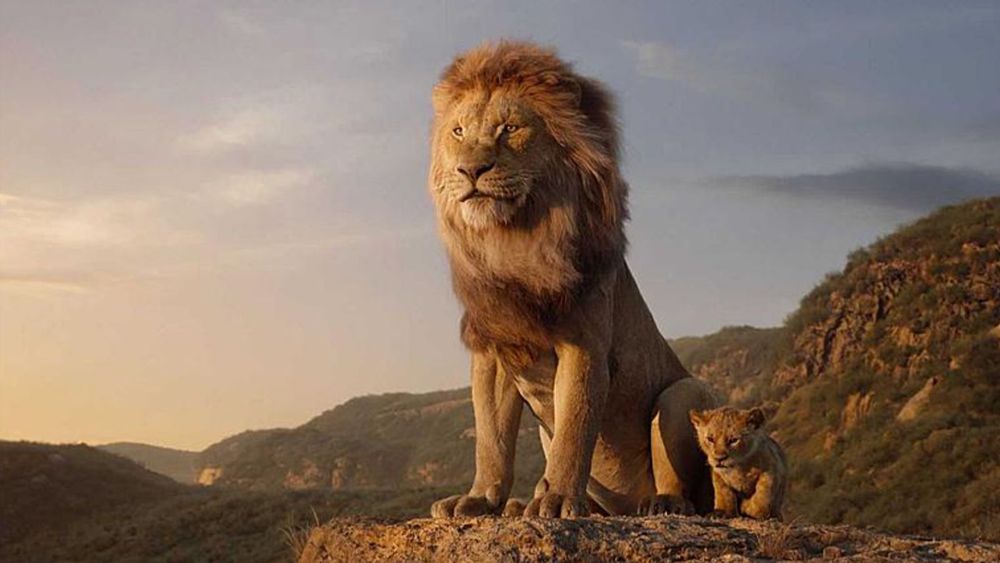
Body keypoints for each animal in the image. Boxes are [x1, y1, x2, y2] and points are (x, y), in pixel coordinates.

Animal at [427, 41, 719, 518]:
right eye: (458, 132)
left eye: (510, 128)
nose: (470, 170)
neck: (514, 241)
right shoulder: (494, 349)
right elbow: (491, 439)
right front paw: (480, 499)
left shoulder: (584, 345)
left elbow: (575, 429)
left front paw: (559, 499)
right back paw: (523, 504)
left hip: (683, 393)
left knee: (685, 486)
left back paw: (661, 503)